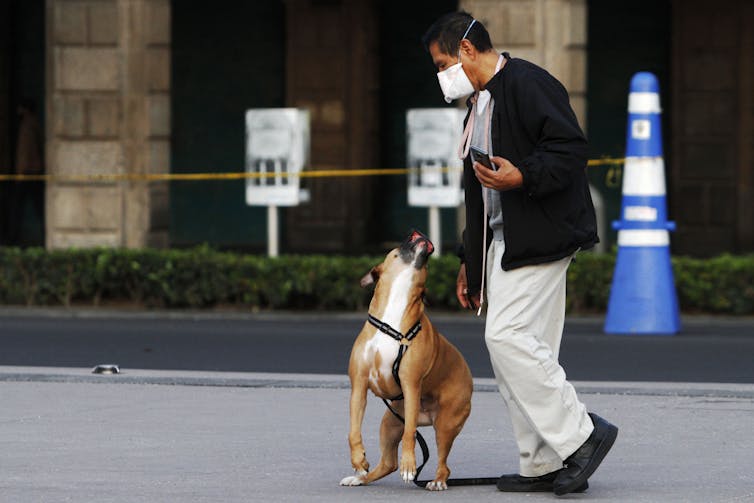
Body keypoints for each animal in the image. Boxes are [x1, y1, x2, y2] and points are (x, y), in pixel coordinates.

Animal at [340, 231, 470, 492]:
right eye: (402, 245)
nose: (418, 234)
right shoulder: (358, 387)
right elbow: (353, 431)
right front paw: (358, 461)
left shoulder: (410, 384)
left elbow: (409, 432)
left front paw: (409, 465)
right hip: (390, 423)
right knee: (387, 463)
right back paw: (360, 478)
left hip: (445, 424)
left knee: (443, 463)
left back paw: (437, 481)